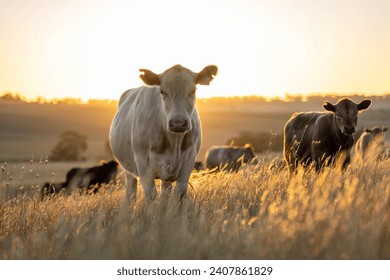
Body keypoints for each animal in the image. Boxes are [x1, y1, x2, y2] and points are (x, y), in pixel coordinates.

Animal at [109, 64, 218, 200]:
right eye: (162, 91)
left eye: (193, 90)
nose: (178, 123)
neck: (173, 141)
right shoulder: (142, 162)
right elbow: (151, 195)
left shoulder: (189, 159)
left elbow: (180, 192)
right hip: (128, 169)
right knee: (131, 193)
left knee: (165, 191)